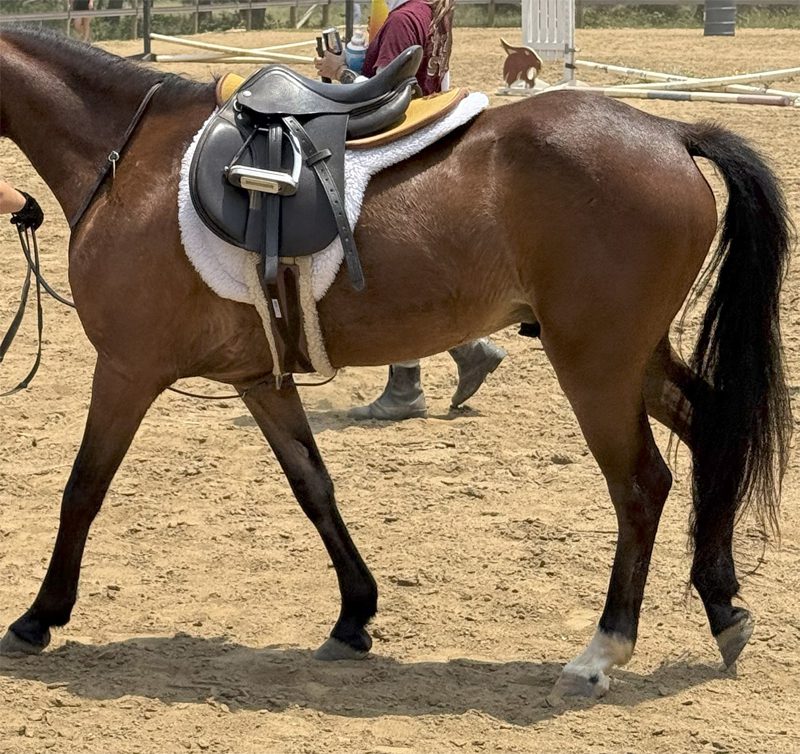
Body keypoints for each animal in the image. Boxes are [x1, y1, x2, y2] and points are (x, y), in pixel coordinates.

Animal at [0, 27, 793, 699]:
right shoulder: (260, 379)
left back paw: (603, 651)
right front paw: (354, 615)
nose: (22, 209)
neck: (132, 160)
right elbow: (314, 488)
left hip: (597, 365)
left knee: (640, 487)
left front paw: (39, 616)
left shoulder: (126, 370)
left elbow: (83, 489)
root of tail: (671, 131)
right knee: (713, 433)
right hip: (635, 360)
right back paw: (724, 608)